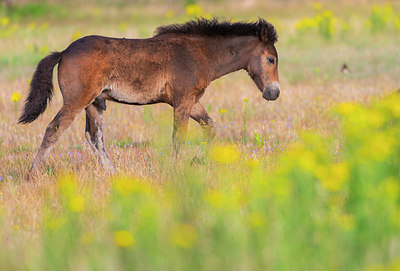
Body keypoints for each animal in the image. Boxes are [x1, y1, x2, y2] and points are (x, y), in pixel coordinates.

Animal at [18, 17, 280, 178]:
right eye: (271, 59)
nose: (274, 93)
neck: (200, 54)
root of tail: (63, 52)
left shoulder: (192, 102)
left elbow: (210, 127)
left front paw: (204, 162)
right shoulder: (183, 102)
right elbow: (178, 137)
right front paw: (176, 170)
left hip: (94, 103)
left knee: (94, 136)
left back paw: (113, 174)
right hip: (77, 100)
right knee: (54, 129)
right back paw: (32, 176)